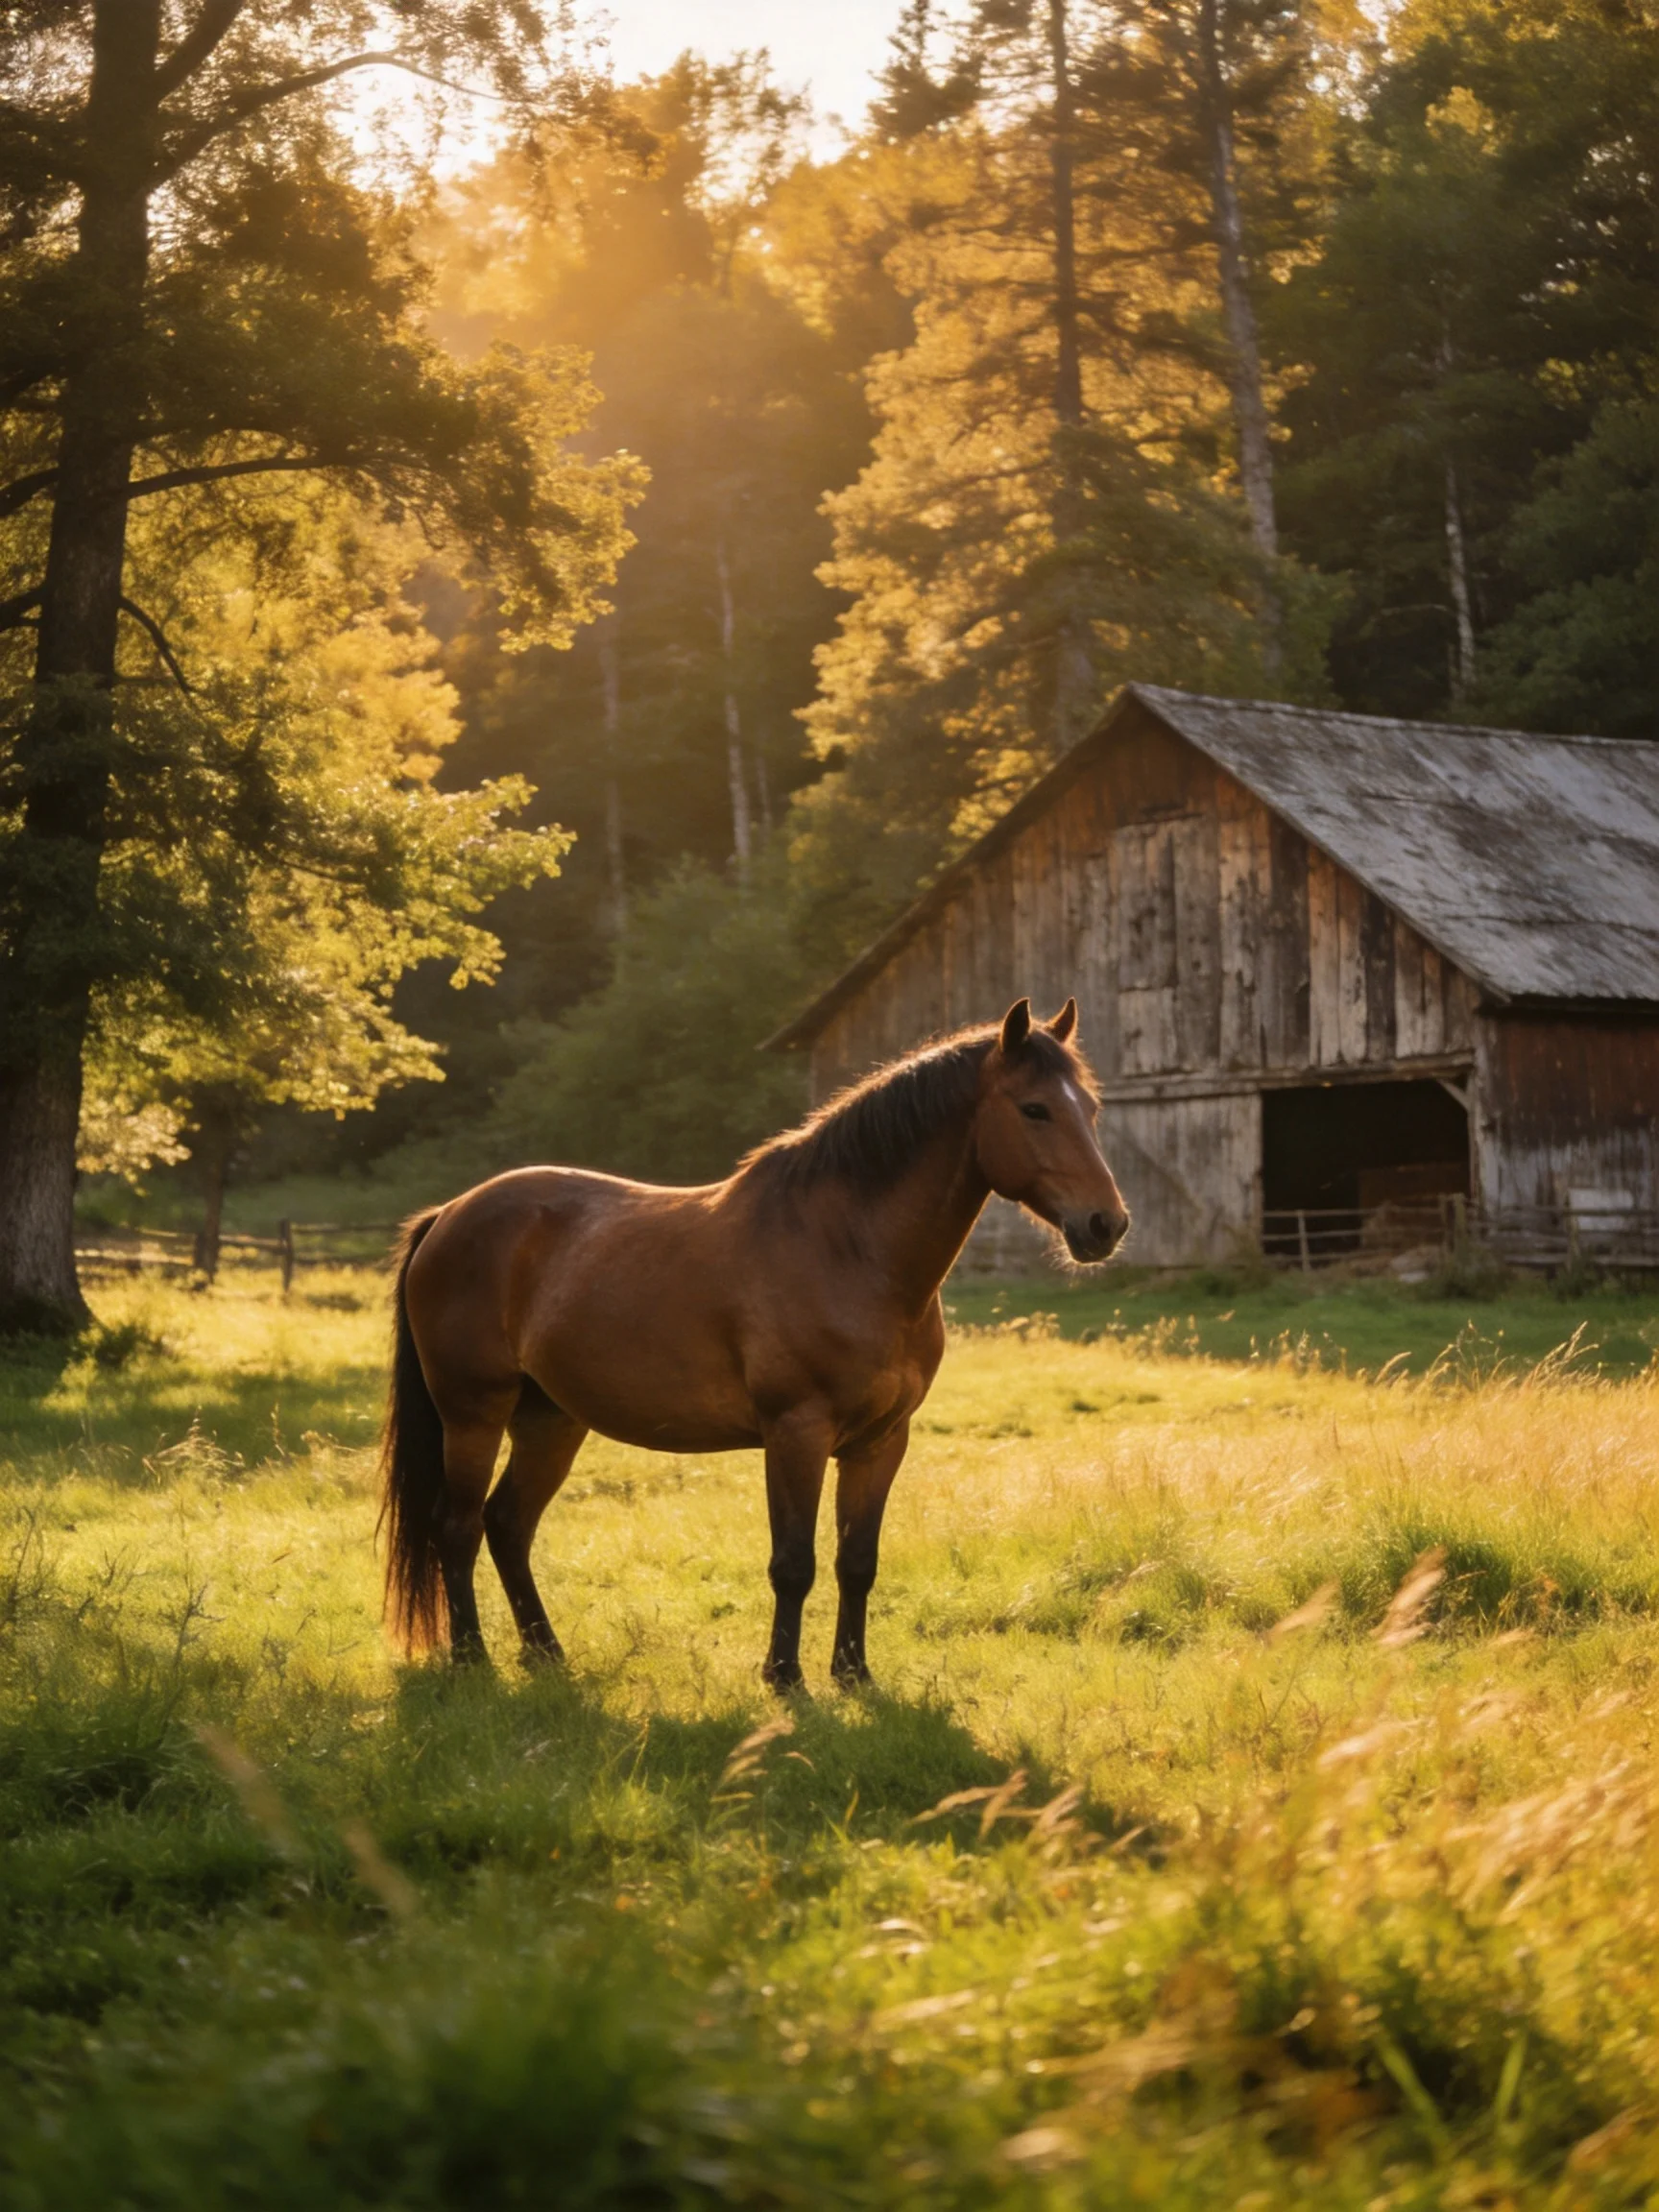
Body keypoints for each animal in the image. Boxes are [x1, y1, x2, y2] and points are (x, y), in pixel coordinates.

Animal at [379, 995, 1130, 1687]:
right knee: (458, 1526)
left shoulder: (882, 1441)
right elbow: (793, 1562)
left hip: (551, 1420)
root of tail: (450, 1213)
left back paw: (546, 1654)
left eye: (1091, 1109)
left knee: (508, 1524)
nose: (1107, 1225)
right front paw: (784, 1676)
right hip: (473, 1414)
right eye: (1035, 1109)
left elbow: (857, 1561)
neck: (849, 1250)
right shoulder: (796, 1432)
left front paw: (853, 1674)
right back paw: (472, 1659)